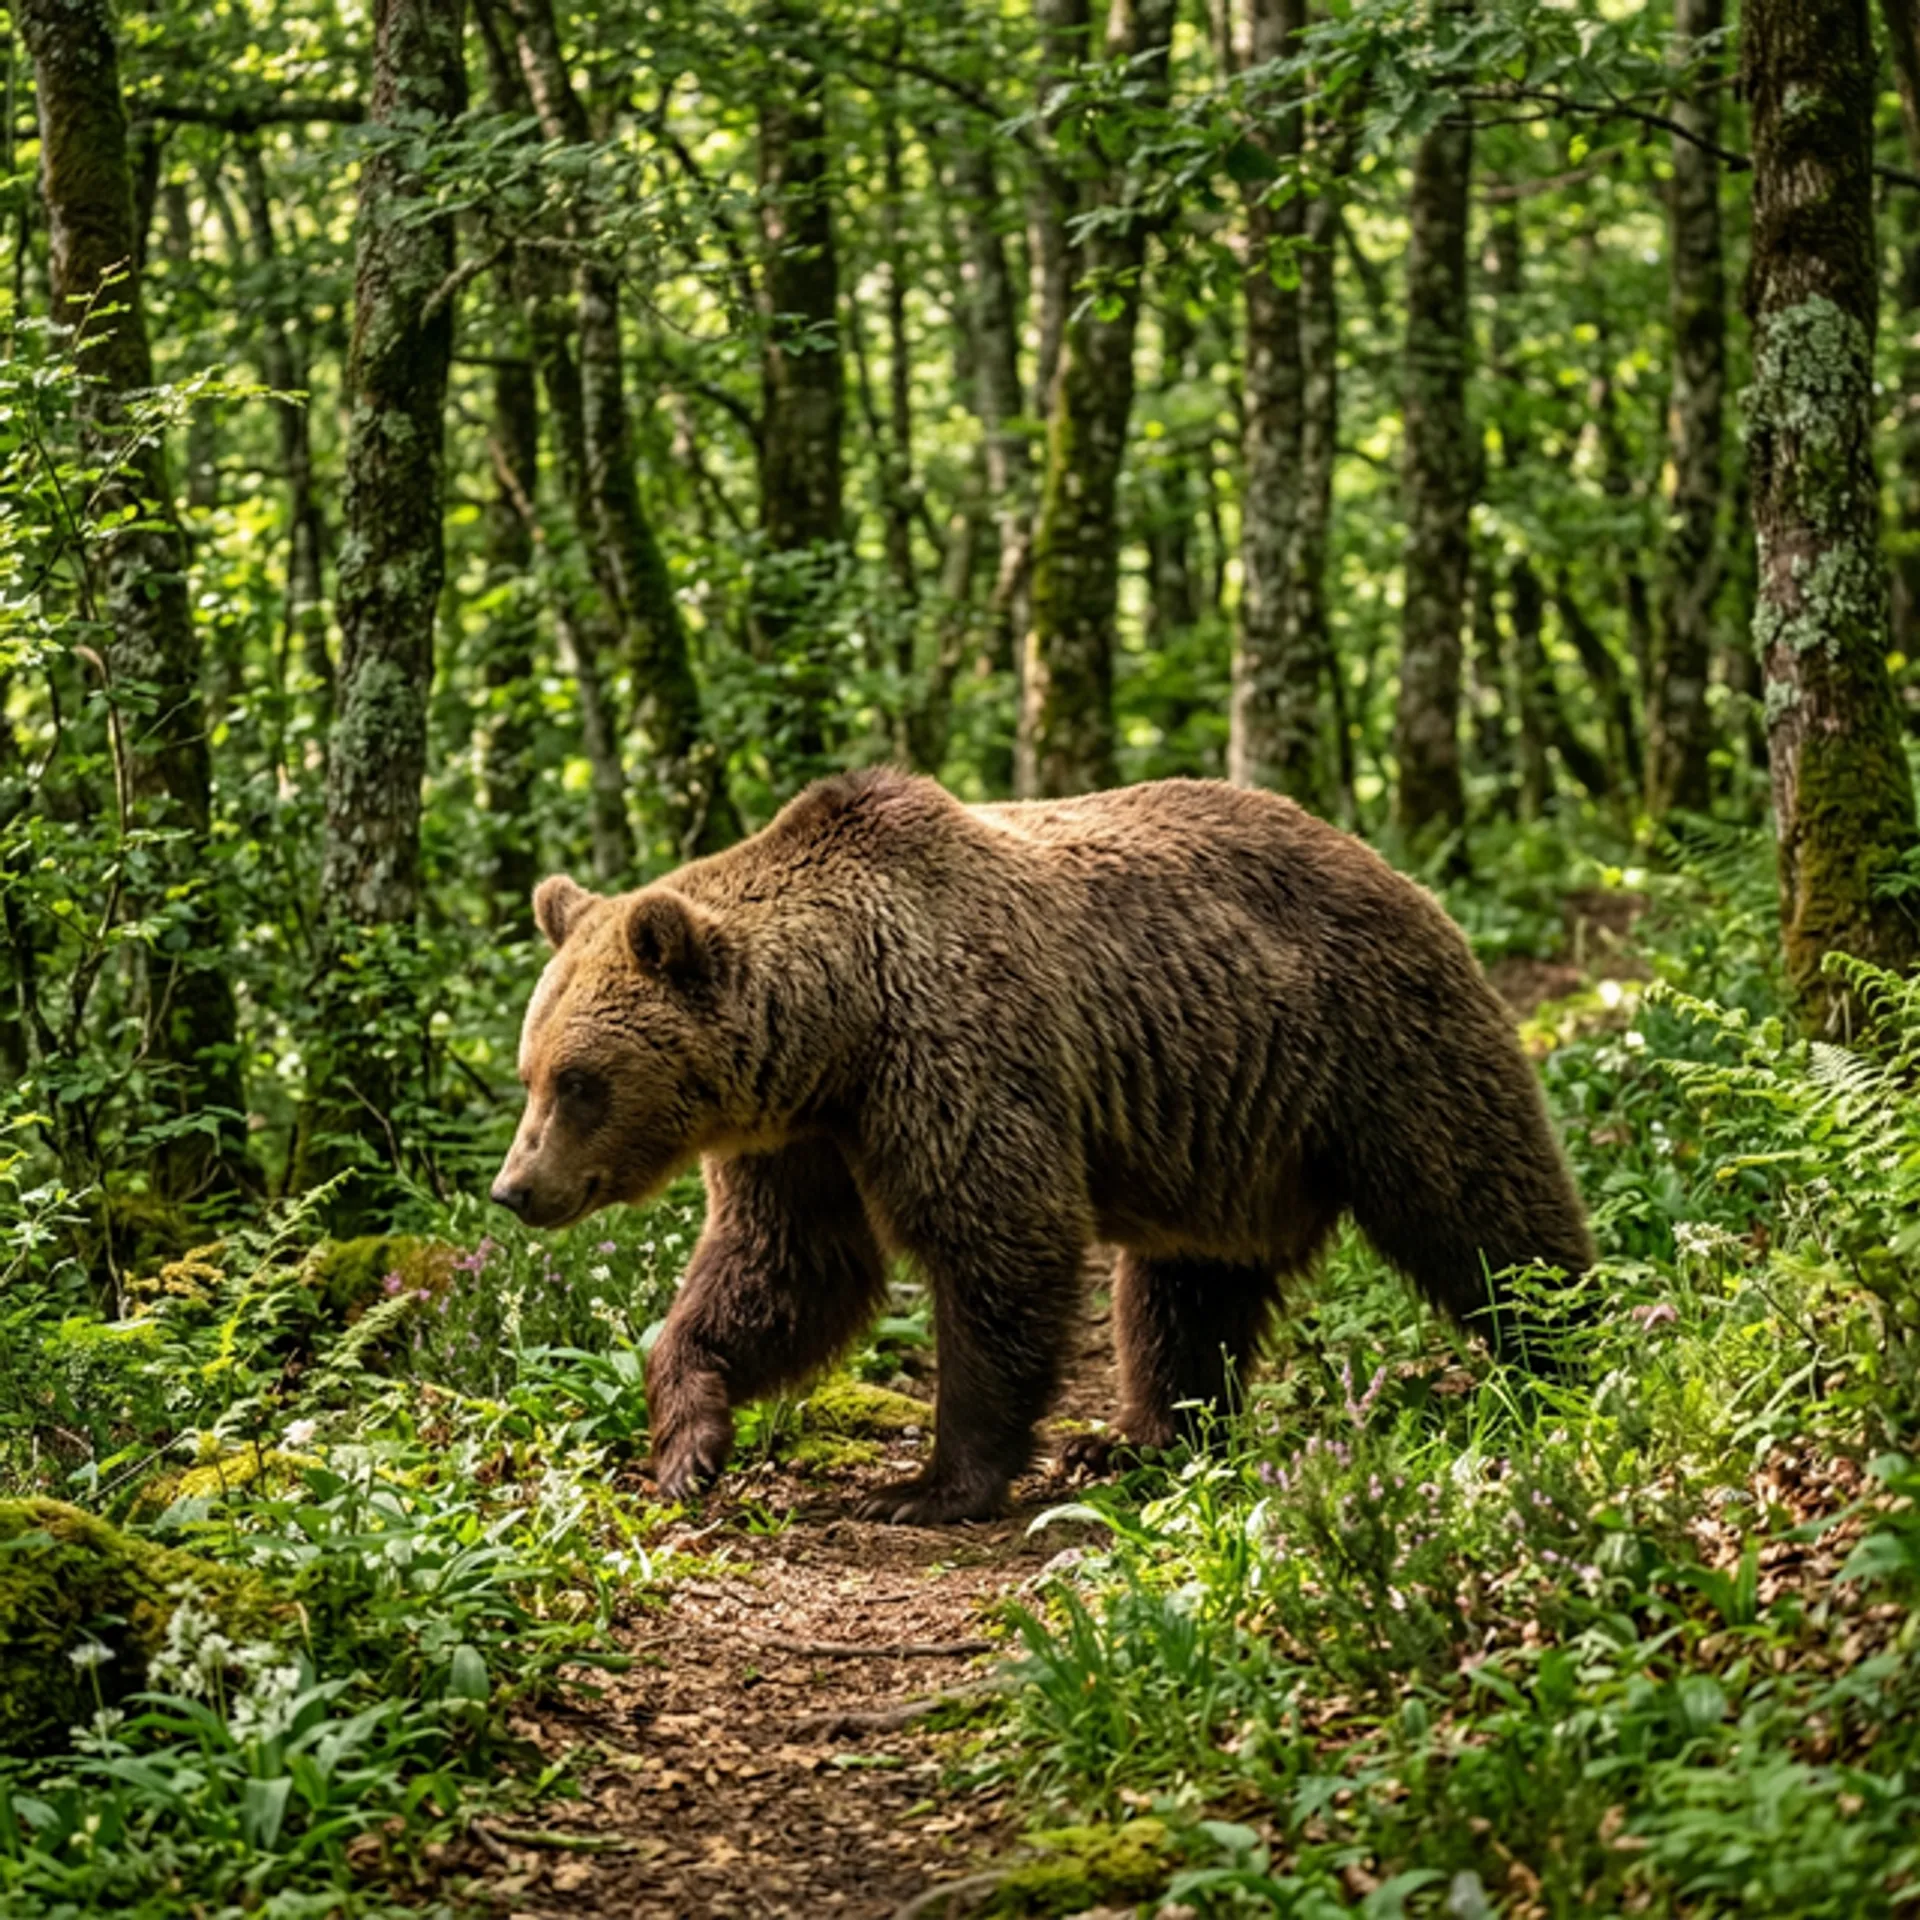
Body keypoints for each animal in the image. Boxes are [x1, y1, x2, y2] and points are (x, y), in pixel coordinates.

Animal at [491, 769, 1593, 1525]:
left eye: (580, 1081)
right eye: (528, 1069)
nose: (515, 1188)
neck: (840, 1028)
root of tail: (1391, 865)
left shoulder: (952, 1054)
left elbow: (997, 1241)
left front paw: (929, 1485)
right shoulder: (802, 1137)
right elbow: (784, 1268)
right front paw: (687, 1442)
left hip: (1379, 1049)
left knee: (1482, 1209)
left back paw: (1563, 1354)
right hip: (1230, 1140)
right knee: (1184, 1291)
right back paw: (1142, 1442)